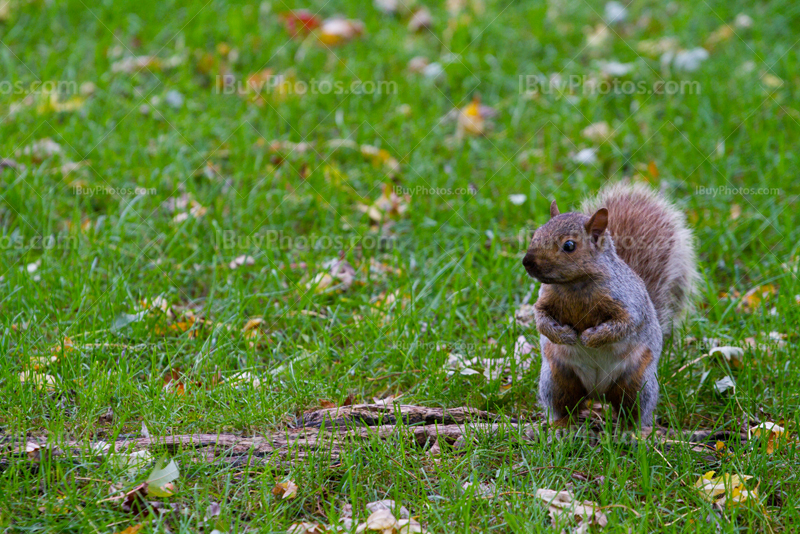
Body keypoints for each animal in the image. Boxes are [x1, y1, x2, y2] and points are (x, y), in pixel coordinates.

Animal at [520, 184, 696, 432]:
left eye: (569, 246)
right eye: (536, 234)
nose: (527, 262)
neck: (575, 285)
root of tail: (597, 393)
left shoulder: (628, 303)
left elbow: (623, 324)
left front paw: (590, 338)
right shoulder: (545, 300)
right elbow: (541, 319)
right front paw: (563, 335)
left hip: (637, 383)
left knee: (633, 411)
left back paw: (632, 432)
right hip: (556, 379)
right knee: (564, 406)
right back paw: (562, 426)